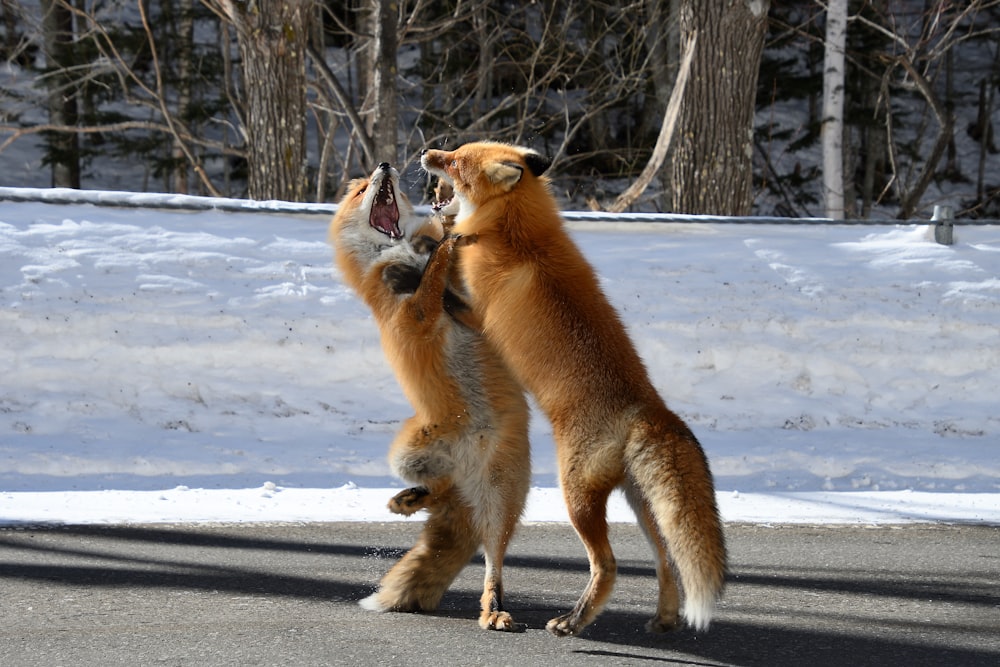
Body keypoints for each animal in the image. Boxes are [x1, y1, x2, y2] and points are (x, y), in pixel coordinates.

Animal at [328, 162, 532, 632]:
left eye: (382, 183)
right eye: (362, 190)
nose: (384, 165)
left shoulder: (474, 311)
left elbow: (448, 283)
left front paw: (439, 237)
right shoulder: (412, 316)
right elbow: (427, 281)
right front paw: (440, 246)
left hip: (501, 500)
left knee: (491, 559)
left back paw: (493, 609)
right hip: (406, 457)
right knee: (439, 489)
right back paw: (409, 501)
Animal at [422, 144, 728, 640]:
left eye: (454, 161)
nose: (425, 151)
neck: (514, 230)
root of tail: (648, 408)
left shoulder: (476, 315)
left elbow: (446, 284)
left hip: (576, 496)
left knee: (608, 565)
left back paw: (574, 620)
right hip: (643, 506)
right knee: (666, 561)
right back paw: (662, 619)